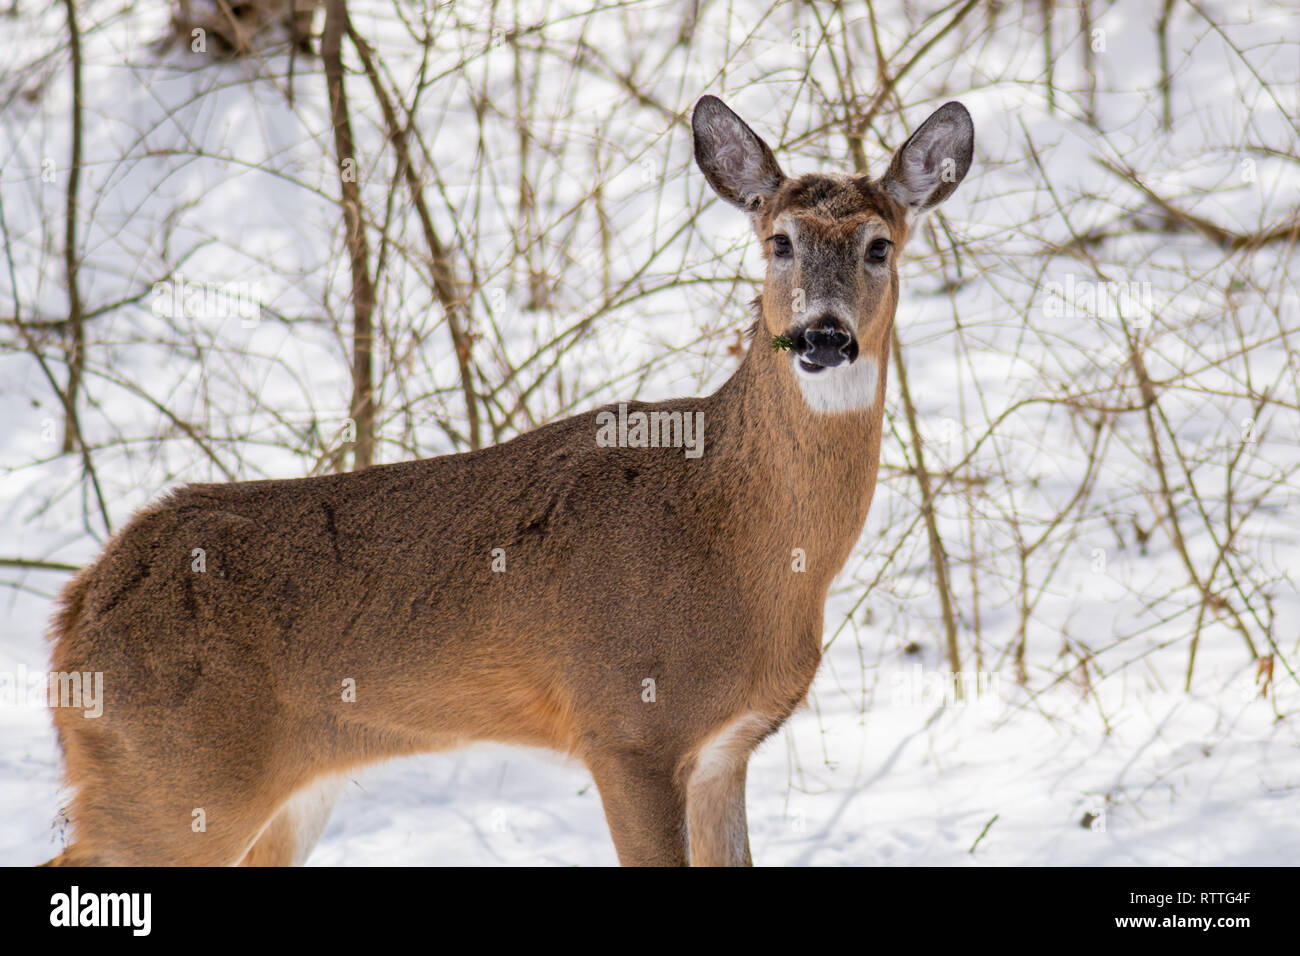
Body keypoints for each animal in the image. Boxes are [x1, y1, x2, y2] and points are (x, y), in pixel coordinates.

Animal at [43, 95, 977, 868]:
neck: (737, 539)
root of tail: (78, 609)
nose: (823, 336)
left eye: (880, 246)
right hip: (173, 775)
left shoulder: (725, 750)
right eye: (778, 241)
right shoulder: (625, 727)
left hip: (272, 791)